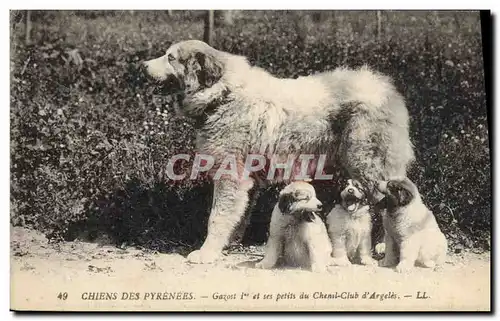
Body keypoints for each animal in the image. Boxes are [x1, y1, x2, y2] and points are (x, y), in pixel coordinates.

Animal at [142, 39, 414, 262]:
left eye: (170, 57)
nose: (143, 66)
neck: (223, 94)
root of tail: (387, 90)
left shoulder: (231, 176)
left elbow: (217, 217)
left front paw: (207, 252)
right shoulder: (246, 180)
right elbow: (238, 215)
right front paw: (228, 244)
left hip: (369, 167)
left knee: (385, 202)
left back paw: (382, 245)